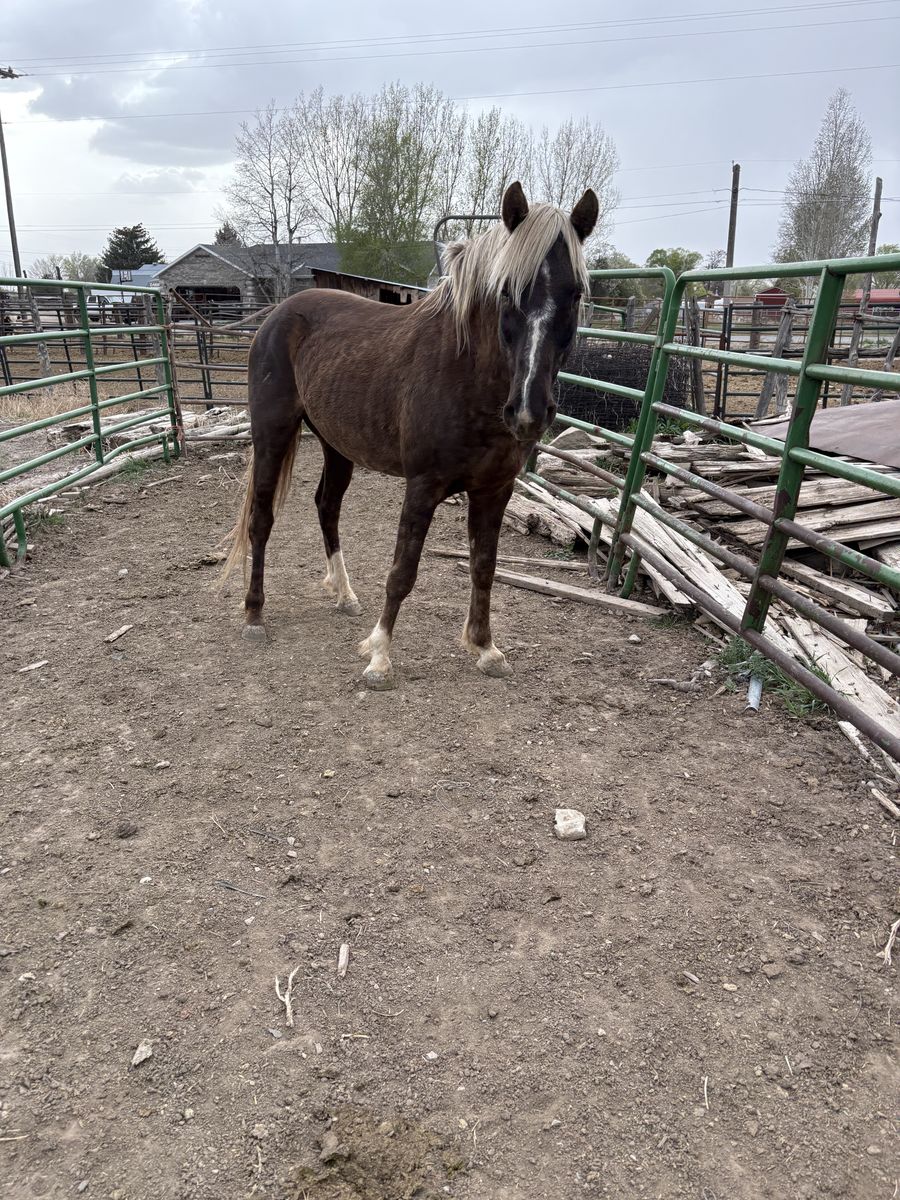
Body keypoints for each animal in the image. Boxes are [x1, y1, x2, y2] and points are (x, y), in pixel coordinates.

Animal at [224, 181, 598, 689]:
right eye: (507, 292)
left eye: (575, 294)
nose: (528, 412)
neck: (466, 374)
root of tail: (278, 315)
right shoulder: (422, 487)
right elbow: (403, 571)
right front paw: (379, 657)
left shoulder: (495, 490)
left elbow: (484, 566)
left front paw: (486, 648)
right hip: (273, 433)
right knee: (261, 518)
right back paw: (254, 616)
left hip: (336, 445)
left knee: (327, 506)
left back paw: (344, 594)